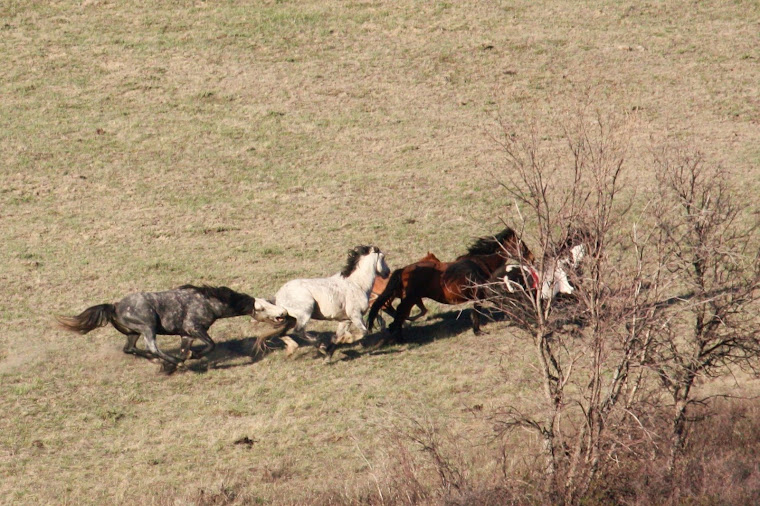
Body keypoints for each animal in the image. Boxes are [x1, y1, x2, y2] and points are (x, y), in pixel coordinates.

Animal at [368, 228, 536, 340]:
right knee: (400, 314)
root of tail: (404, 270)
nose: (532, 258)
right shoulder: (481, 295)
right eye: (520, 244)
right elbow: (477, 312)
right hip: (410, 299)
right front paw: (478, 331)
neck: (480, 263)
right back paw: (398, 336)